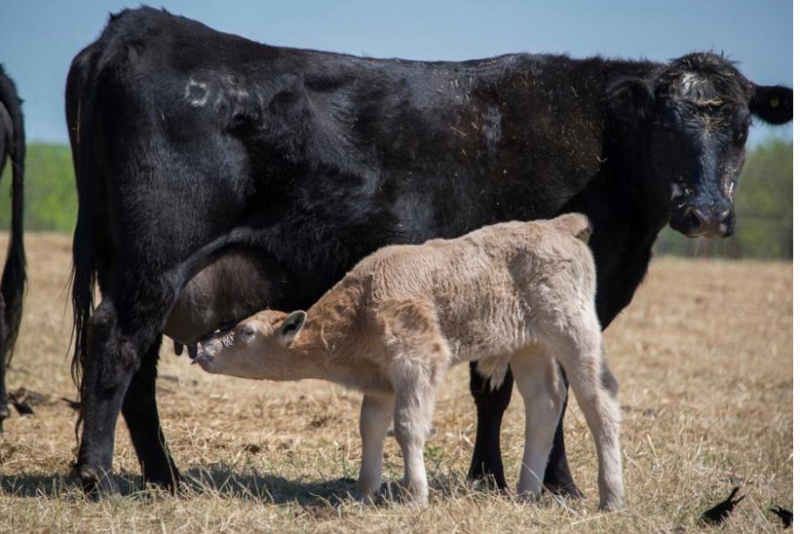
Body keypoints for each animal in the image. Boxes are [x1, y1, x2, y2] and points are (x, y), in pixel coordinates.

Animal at [65, 7, 792, 495]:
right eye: (666, 126)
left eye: (739, 128)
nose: (707, 213)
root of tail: (136, 26)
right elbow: (528, 389)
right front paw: (552, 484)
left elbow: (499, 391)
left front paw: (493, 477)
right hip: (153, 264)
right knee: (117, 345)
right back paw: (97, 476)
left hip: (144, 270)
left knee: (139, 368)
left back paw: (165, 477)